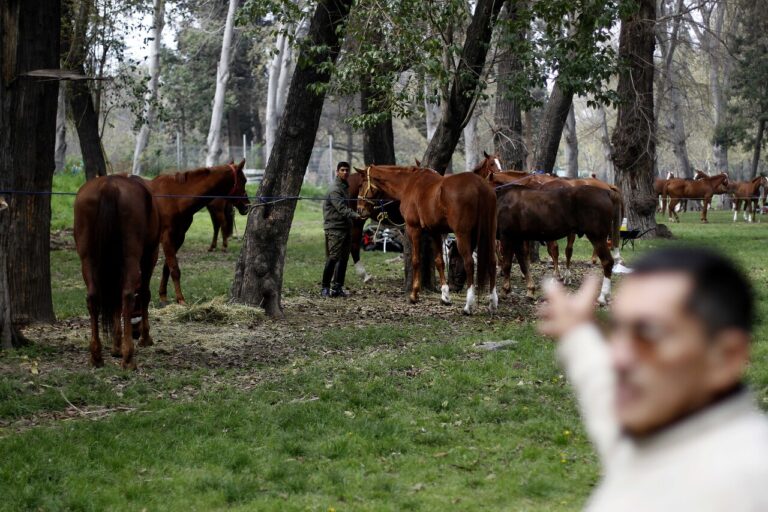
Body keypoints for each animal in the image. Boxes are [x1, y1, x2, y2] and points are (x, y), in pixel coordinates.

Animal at [73, 175, 160, 370]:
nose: (135, 333)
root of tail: (109, 185)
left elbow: (115, 301)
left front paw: (116, 346)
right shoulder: (150, 254)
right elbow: (144, 293)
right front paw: (145, 338)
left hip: (87, 259)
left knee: (93, 297)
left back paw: (96, 355)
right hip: (132, 256)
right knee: (127, 295)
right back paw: (128, 358)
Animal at [147, 160, 249, 305]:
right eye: (244, 180)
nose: (246, 206)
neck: (174, 197)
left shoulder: (179, 237)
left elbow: (167, 267)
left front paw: (163, 297)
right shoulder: (167, 238)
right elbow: (174, 269)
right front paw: (181, 299)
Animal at [356, 165, 497, 315]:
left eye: (360, 184)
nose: (359, 210)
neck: (409, 183)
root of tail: (479, 185)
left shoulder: (414, 229)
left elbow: (416, 260)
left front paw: (414, 295)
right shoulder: (435, 232)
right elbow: (439, 262)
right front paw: (445, 296)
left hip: (463, 235)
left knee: (469, 263)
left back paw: (468, 305)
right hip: (489, 234)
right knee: (492, 262)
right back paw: (493, 303)